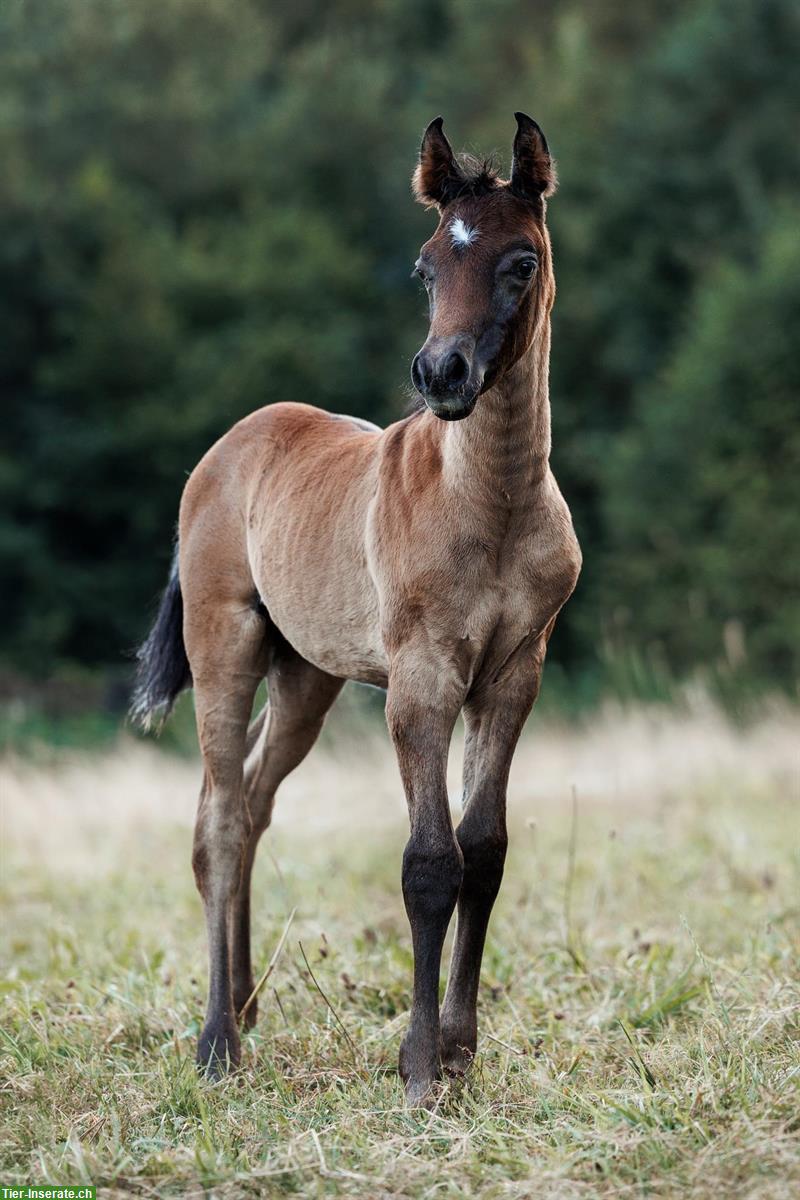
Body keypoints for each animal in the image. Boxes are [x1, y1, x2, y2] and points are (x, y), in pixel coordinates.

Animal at [133, 114, 582, 1104]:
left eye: (520, 261)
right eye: (426, 266)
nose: (443, 372)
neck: (490, 505)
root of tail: (225, 451)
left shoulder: (513, 675)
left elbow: (484, 851)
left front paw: (459, 1050)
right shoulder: (420, 680)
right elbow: (429, 863)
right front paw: (418, 1070)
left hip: (306, 678)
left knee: (250, 798)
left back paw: (247, 1003)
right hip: (224, 642)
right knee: (221, 818)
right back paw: (217, 1043)